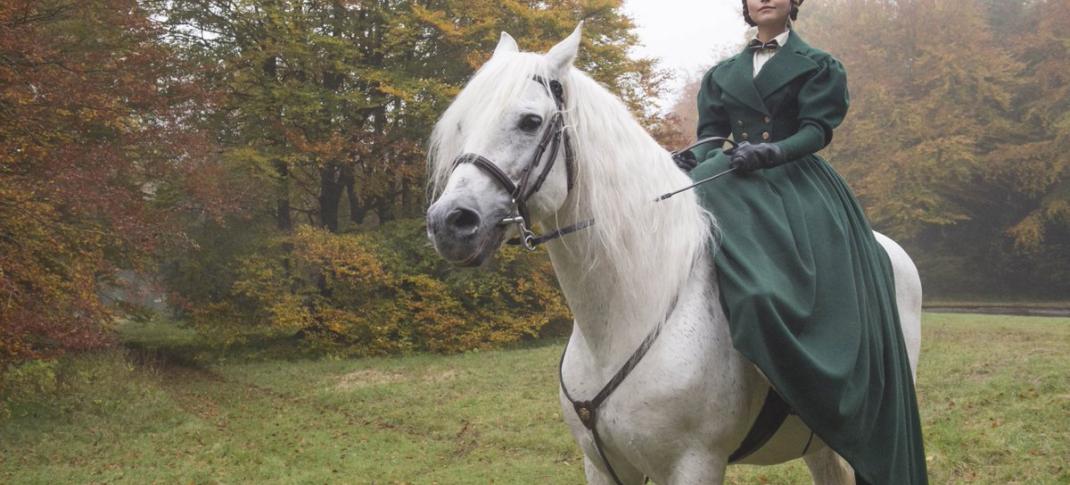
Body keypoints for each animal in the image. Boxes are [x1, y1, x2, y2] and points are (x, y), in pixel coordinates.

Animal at [423, 25, 920, 483]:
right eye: (463, 123)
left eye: (529, 121)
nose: (450, 222)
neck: (623, 318)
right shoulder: (603, 465)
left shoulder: (694, 464)